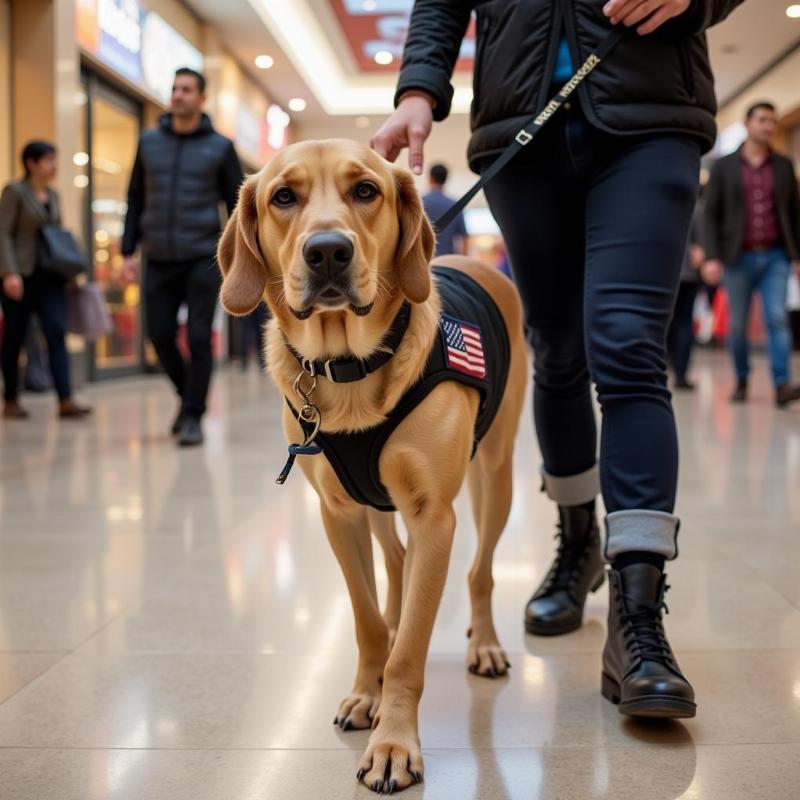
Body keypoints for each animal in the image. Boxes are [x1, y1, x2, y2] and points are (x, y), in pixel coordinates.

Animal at [217, 139, 524, 792]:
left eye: (365, 191)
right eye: (283, 196)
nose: (328, 251)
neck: (348, 367)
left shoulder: (435, 515)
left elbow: (410, 650)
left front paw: (394, 743)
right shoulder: (339, 512)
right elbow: (366, 620)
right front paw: (368, 691)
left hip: (496, 475)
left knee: (479, 571)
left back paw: (484, 642)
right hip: (373, 499)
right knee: (398, 565)